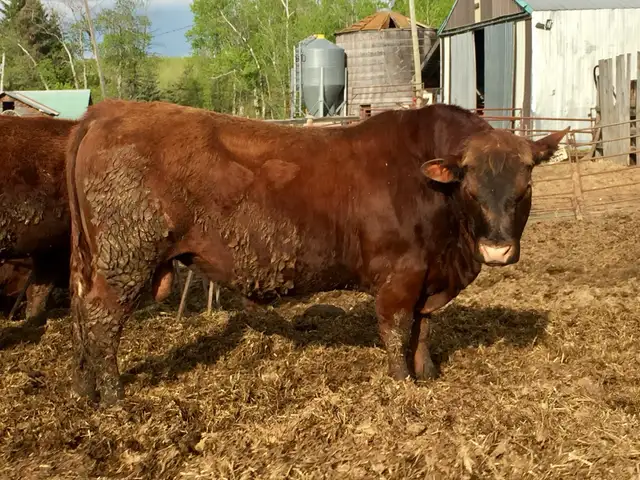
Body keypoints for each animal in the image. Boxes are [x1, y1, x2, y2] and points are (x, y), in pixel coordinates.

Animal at [66, 100, 568, 405]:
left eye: (525, 188)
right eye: (471, 189)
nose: (498, 249)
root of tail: (108, 110)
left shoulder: (429, 276)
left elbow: (425, 328)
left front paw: (426, 373)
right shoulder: (400, 275)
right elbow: (397, 330)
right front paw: (402, 382)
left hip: (96, 262)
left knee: (81, 314)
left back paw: (85, 387)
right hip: (125, 262)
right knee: (101, 320)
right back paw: (114, 397)